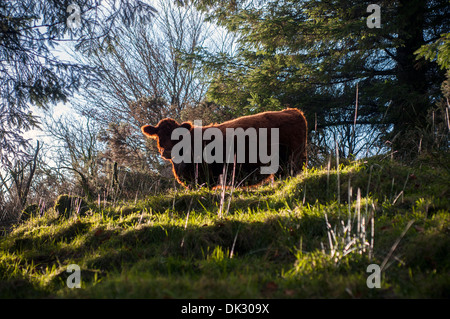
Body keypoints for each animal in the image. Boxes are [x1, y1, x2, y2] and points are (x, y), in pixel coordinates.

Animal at [142, 108, 308, 188]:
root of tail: (292, 111)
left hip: (292, 159)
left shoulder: (204, 177)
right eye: (159, 135)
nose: (167, 151)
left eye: (177, 136)